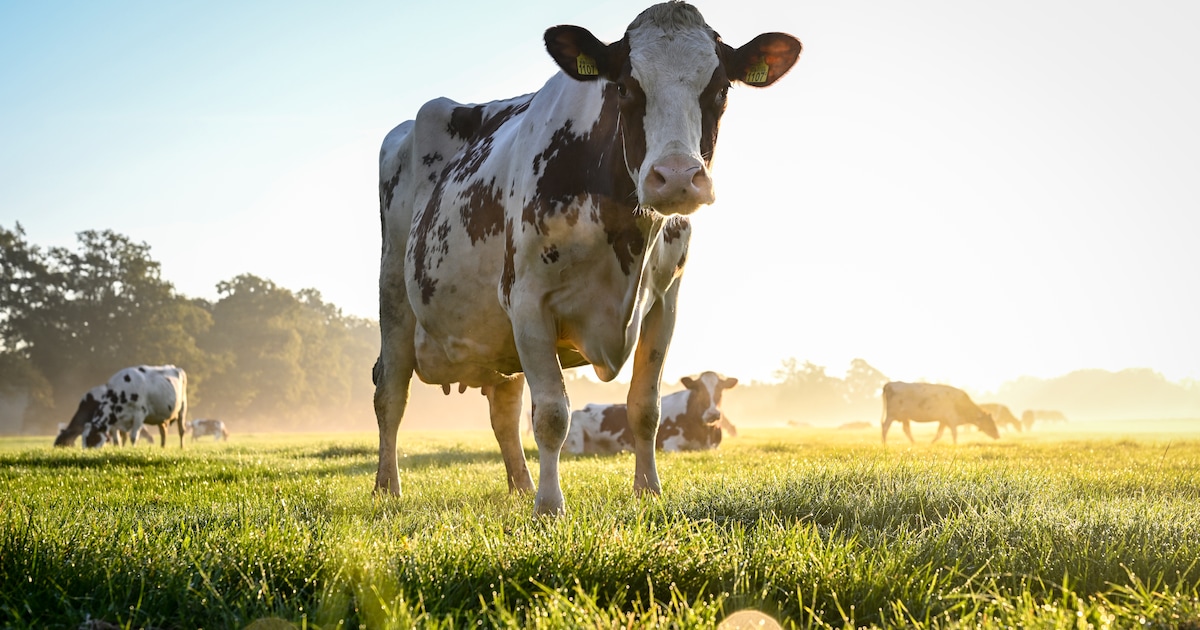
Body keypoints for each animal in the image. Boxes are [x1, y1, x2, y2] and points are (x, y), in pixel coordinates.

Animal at [53, 365, 188, 448]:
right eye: (84, 440)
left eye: (93, 439)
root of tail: (175, 367)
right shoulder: (114, 420)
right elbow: (117, 439)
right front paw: (119, 449)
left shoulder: (140, 414)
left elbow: (133, 437)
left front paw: (132, 449)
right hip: (161, 416)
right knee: (163, 432)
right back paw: (162, 447)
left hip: (183, 407)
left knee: (181, 430)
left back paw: (181, 447)